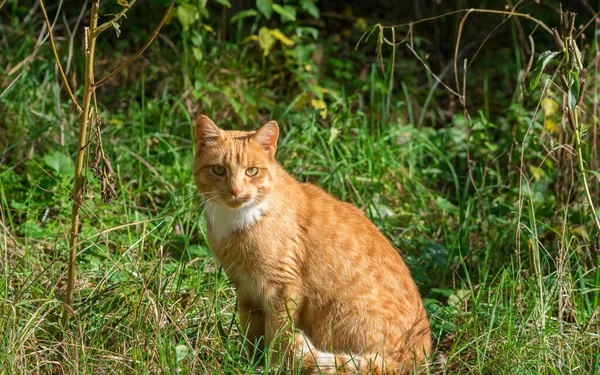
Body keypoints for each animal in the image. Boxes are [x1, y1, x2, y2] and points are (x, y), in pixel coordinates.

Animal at [195, 116, 434, 374]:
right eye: (219, 169)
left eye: (252, 171)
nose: (235, 190)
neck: (236, 220)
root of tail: (408, 361)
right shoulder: (246, 290)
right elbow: (252, 333)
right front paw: (249, 363)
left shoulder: (282, 288)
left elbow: (277, 335)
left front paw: (271, 367)